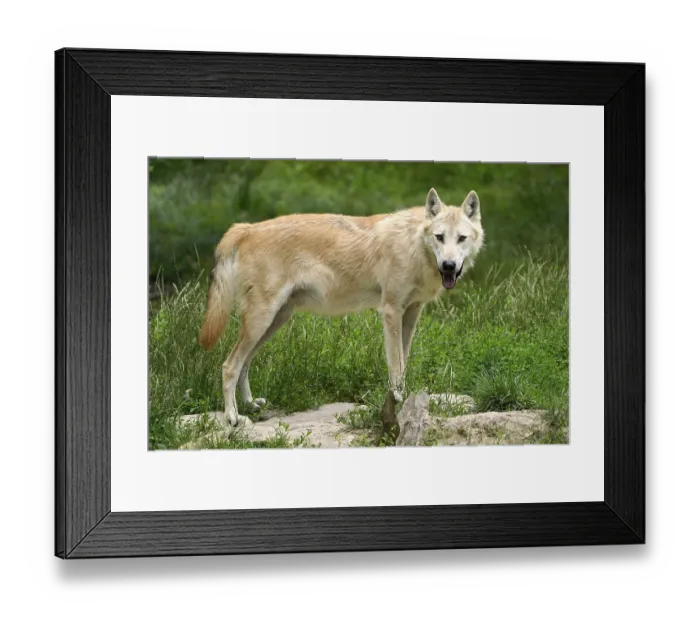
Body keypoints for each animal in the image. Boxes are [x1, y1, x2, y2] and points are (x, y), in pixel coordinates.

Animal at [198, 187, 484, 428]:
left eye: (461, 238)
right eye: (439, 237)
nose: (448, 266)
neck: (414, 245)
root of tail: (246, 228)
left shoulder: (412, 312)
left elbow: (403, 364)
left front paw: (404, 401)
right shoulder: (391, 311)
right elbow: (395, 366)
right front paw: (397, 403)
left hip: (274, 321)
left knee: (245, 363)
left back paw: (249, 405)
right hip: (261, 321)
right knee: (229, 365)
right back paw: (234, 417)